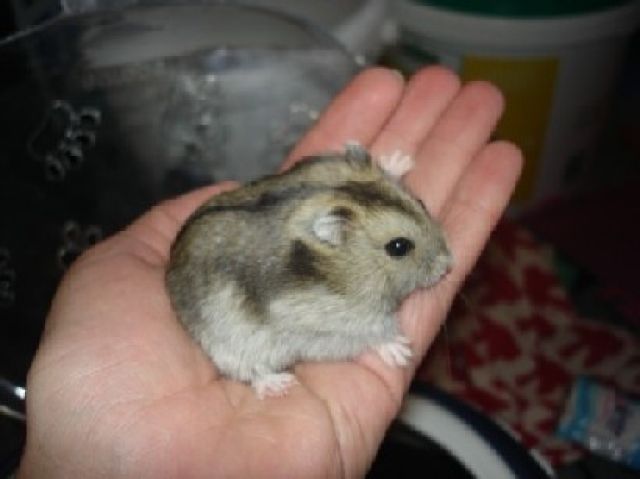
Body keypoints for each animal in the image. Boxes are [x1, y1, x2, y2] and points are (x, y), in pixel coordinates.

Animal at [166, 143, 452, 398]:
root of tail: (169, 276)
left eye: (421, 202)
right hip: (228, 345)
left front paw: (400, 160)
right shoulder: (339, 325)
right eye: (399, 247)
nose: (449, 265)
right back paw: (280, 384)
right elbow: (376, 333)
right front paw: (402, 350)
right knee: (249, 371)